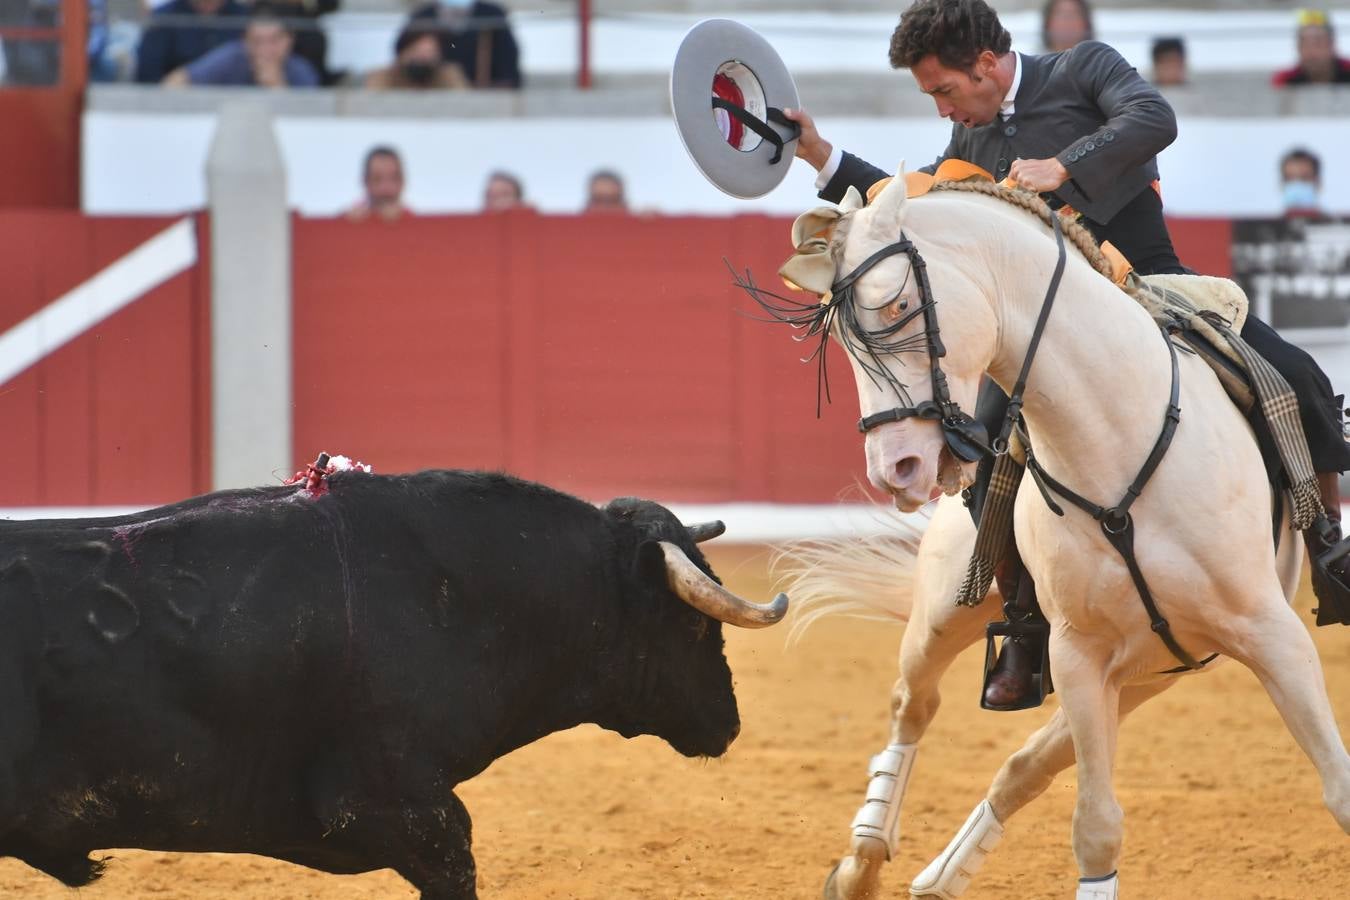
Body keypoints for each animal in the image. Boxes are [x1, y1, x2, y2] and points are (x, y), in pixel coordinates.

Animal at [783, 172, 1350, 895]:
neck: (1116, 441)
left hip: (1157, 667)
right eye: (841, 339)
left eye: (901, 305)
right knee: (914, 702)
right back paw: (861, 864)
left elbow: (1340, 792)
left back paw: (940, 875)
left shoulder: (1271, 634)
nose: (897, 468)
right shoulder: (1079, 652)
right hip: (951, 613)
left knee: (1022, 765)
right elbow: (1096, 827)